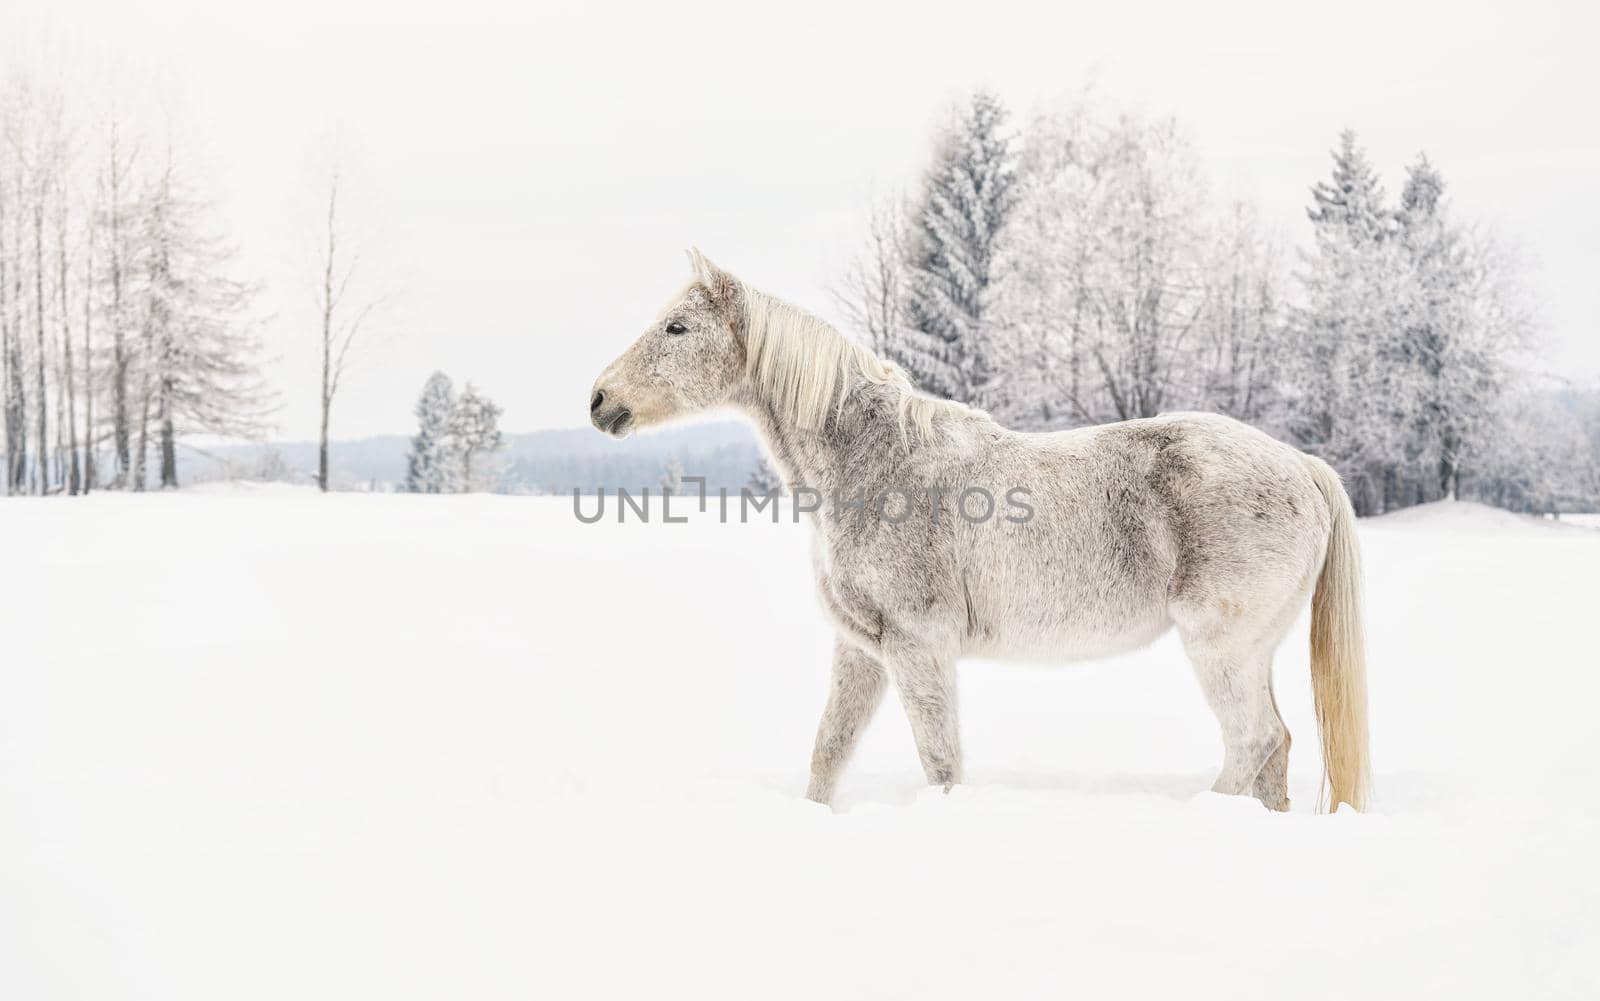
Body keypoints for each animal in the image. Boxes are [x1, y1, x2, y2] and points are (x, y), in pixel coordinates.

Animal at [595, 251, 1369, 812]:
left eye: (677, 329)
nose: (601, 401)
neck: (879, 462)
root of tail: (1300, 465)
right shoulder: (863, 649)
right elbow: (829, 748)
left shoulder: (919, 645)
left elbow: (939, 757)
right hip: (1252, 651)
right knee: (1276, 748)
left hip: (1220, 647)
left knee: (1252, 740)